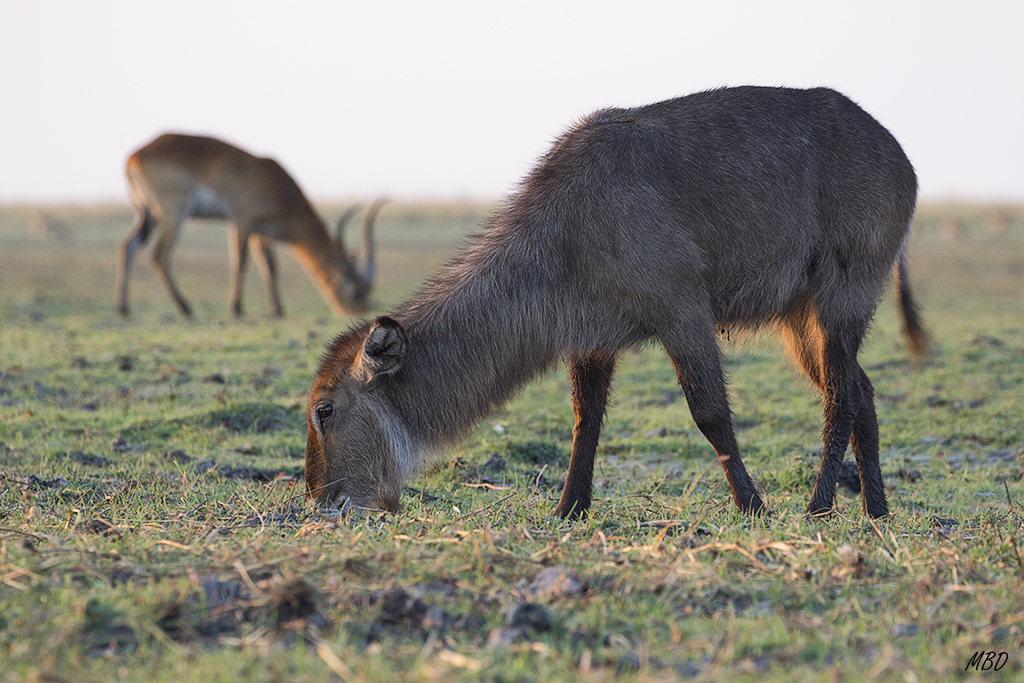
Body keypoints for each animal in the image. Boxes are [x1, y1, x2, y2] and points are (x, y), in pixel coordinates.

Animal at [116, 133, 383, 318]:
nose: (358, 313)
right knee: (159, 255)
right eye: (356, 292)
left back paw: (123, 308)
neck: (279, 188)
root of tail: (133, 156)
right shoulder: (241, 221)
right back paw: (185, 308)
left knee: (128, 246)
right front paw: (237, 309)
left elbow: (270, 267)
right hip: (173, 214)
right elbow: (240, 262)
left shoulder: (260, 233)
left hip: (147, 216)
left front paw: (277, 310)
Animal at [305, 86, 928, 520]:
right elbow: (587, 419)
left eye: (324, 410)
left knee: (841, 396)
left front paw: (752, 506)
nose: (319, 502)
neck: (564, 226)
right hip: (800, 319)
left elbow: (709, 413)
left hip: (840, 296)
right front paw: (568, 510)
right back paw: (876, 511)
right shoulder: (592, 335)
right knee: (861, 389)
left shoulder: (681, 309)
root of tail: (902, 156)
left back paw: (819, 506)